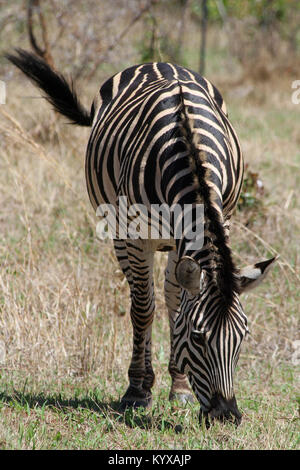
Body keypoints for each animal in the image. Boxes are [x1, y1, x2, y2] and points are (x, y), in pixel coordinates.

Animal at [6, 50, 276, 426]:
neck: (189, 148)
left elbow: (175, 305)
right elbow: (143, 309)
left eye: (243, 337)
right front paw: (137, 391)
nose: (227, 416)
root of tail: (159, 62)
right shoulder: (132, 236)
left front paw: (178, 387)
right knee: (143, 298)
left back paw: (177, 385)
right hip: (123, 232)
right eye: (198, 337)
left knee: (172, 295)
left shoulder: (208, 228)